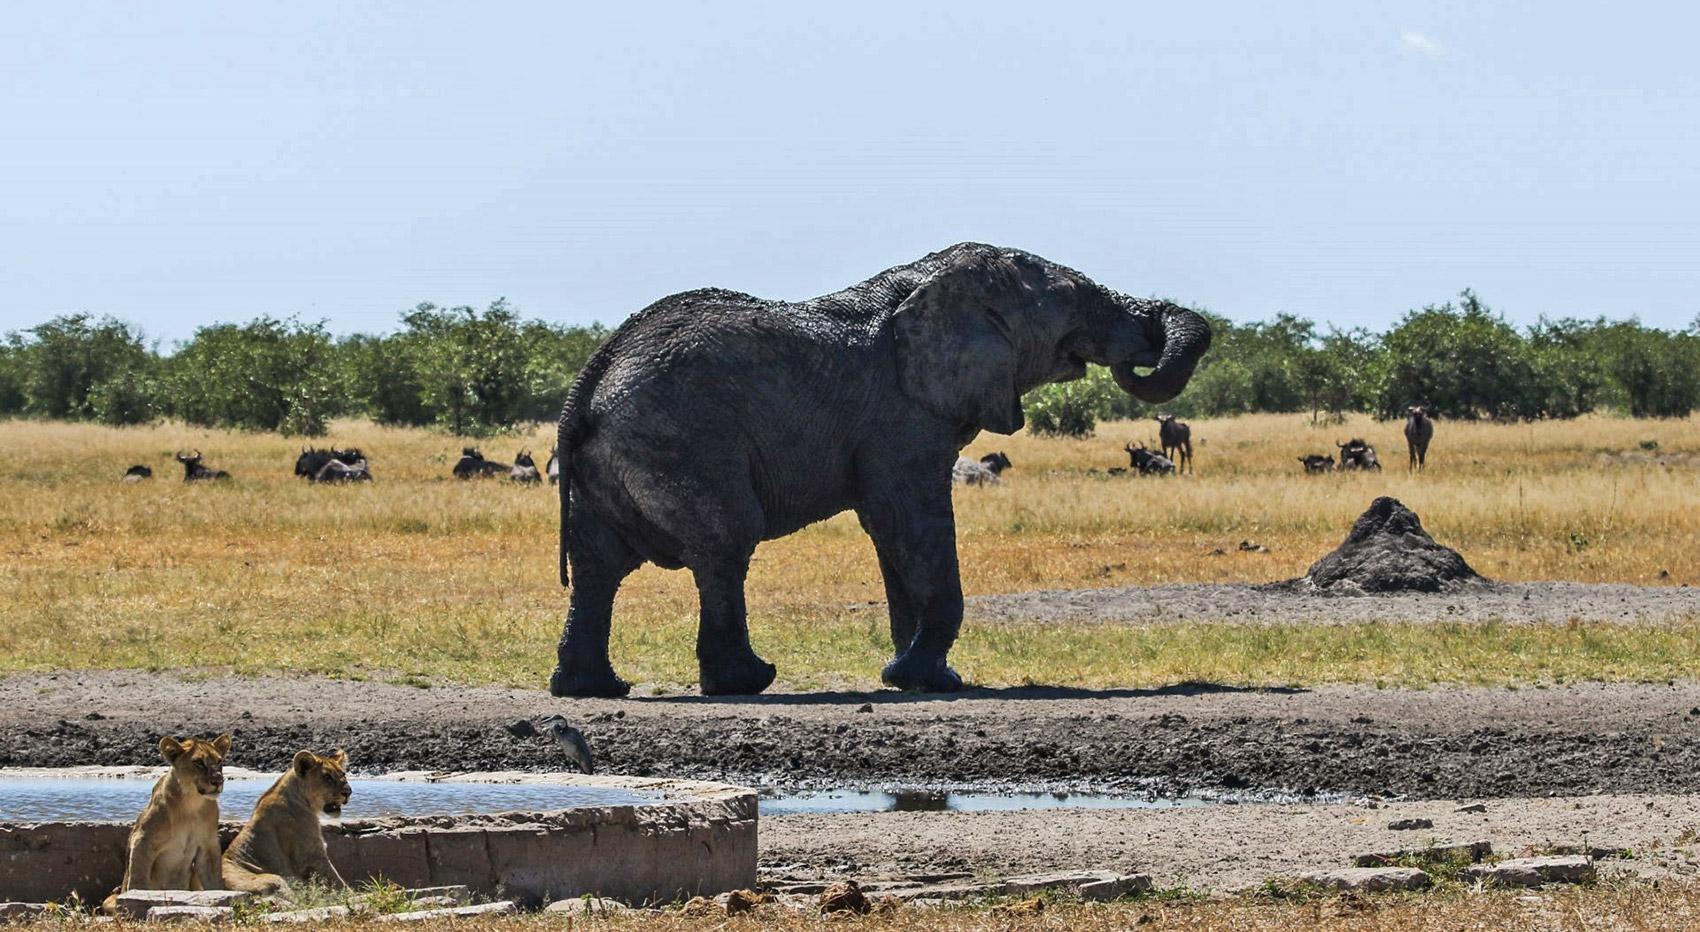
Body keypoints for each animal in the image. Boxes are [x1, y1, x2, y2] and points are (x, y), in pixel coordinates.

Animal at [102, 733, 232, 913]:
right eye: (198, 762)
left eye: (219, 761)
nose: (218, 781)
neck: (191, 804)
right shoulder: (142, 839)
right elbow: (138, 876)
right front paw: (135, 898)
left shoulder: (208, 846)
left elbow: (213, 881)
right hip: (109, 899)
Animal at [221, 748, 352, 896]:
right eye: (327, 777)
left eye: (343, 774)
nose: (348, 792)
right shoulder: (311, 855)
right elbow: (337, 880)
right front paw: (353, 895)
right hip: (276, 879)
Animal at [550, 243, 1213, 697]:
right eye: (1074, 301)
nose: (1142, 354)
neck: (926, 286)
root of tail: (590, 381)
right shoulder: (903, 416)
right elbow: (912, 523)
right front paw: (929, 679)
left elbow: (891, 535)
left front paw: (914, 677)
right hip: (682, 440)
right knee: (724, 545)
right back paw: (747, 681)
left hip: (616, 461)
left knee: (597, 564)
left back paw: (593, 689)